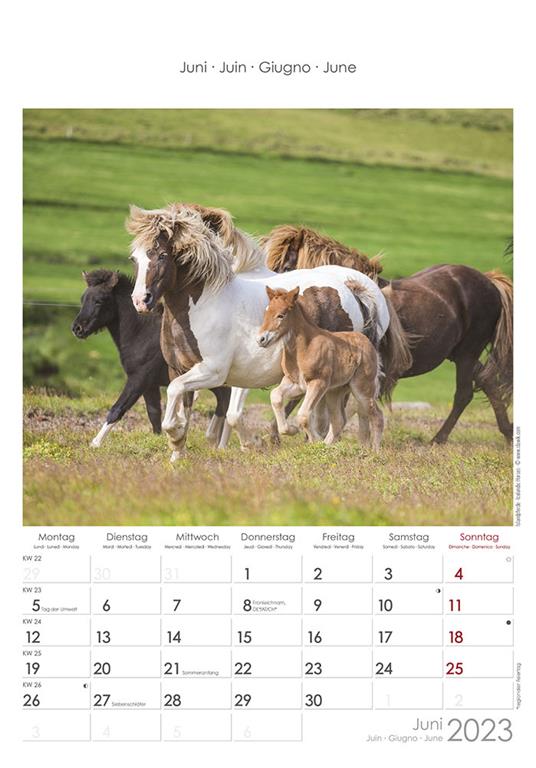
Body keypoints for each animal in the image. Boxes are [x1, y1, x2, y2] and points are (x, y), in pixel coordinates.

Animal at [71, 269, 231, 447]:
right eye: (83, 299)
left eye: (99, 301)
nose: (77, 328)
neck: (141, 333)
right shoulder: (150, 385)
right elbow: (154, 413)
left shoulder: (138, 379)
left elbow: (117, 409)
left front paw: (95, 443)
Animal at [258, 286, 384, 449]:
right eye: (266, 312)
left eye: (281, 315)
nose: (261, 339)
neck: (303, 348)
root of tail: (368, 343)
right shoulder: (295, 383)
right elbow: (275, 396)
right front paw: (291, 430)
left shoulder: (318, 382)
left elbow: (303, 415)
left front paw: (314, 440)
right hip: (334, 391)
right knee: (338, 421)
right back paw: (327, 447)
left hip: (362, 389)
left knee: (377, 416)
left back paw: (374, 451)